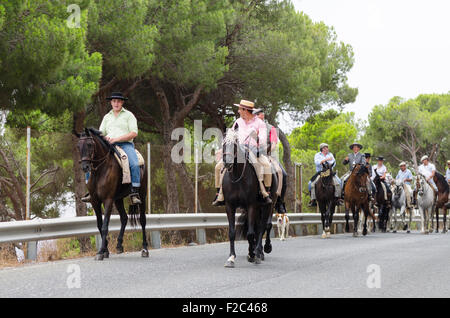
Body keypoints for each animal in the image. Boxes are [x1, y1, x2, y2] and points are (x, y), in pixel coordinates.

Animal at [74, 128, 149, 260]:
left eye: (89, 144)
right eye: (78, 146)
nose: (85, 167)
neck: (100, 170)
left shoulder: (108, 200)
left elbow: (105, 226)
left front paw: (100, 252)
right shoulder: (95, 201)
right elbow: (100, 225)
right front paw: (105, 250)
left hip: (142, 195)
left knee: (142, 220)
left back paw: (145, 249)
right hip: (118, 199)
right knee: (124, 218)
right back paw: (119, 245)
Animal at [221, 128, 278, 268]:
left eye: (235, 144)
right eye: (223, 143)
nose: (227, 162)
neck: (237, 178)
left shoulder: (251, 205)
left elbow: (251, 233)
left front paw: (253, 254)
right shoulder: (230, 206)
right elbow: (232, 232)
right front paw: (231, 258)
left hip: (268, 205)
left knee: (263, 227)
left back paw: (260, 251)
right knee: (257, 227)